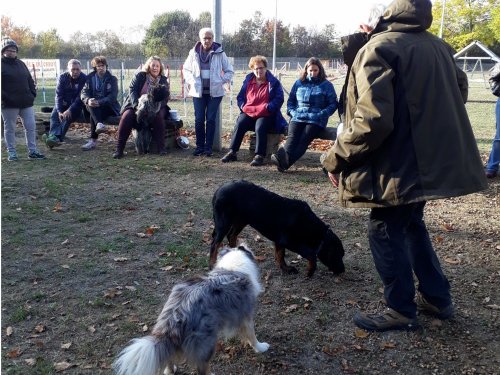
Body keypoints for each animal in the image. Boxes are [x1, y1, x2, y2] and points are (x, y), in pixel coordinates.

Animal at [209, 181, 346, 278]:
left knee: (231, 235)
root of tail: (218, 190)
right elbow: (310, 255)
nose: (343, 270)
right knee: (215, 243)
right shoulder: (289, 241)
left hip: (241, 221)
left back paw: (236, 253)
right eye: (338, 254)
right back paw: (213, 264)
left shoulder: (280, 241)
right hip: (224, 222)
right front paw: (309, 272)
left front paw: (285, 269)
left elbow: (280, 254)